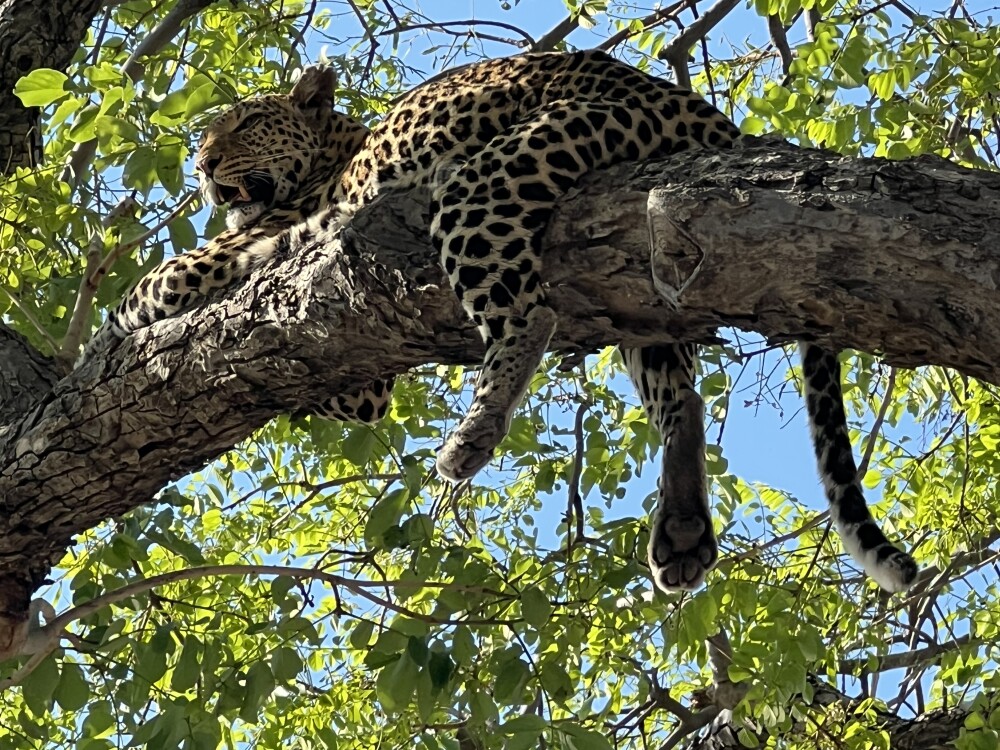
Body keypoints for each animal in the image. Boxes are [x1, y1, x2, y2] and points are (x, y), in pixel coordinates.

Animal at [86, 50, 918, 595]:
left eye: (249, 123)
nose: (202, 166)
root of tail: (706, 113)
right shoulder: (353, 374)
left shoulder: (247, 241)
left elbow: (151, 285)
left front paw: (105, 334)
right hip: (640, 301)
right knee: (680, 396)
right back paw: (681, 526)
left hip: (502, 173)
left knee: (528, 314)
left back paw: (473, 436)